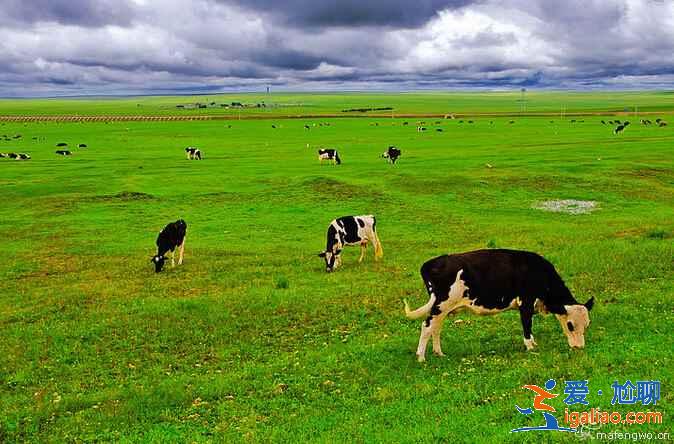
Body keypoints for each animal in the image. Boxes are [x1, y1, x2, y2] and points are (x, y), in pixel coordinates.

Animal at [402, 248, 592, 362]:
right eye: (570, 325)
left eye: (587, 325)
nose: (579, 347)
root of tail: (431, 263)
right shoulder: (526, 302)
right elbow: (527, 325)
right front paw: (530, 347)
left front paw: (533, 344)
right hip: (441, 305)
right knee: (427, 326)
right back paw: (421, 357)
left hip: (442, 309)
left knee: (435, 327)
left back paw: (439, 353)